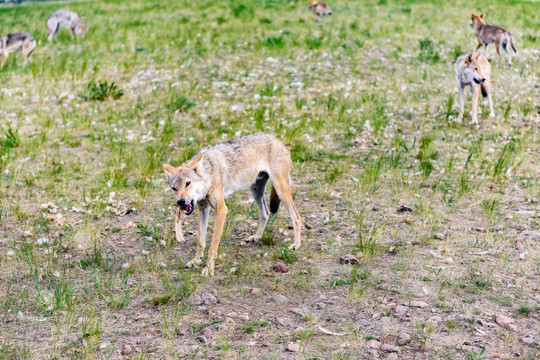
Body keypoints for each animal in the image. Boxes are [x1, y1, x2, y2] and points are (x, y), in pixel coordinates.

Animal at [160, 132, 304, 276]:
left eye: (188, 183)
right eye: (174, 188)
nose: (180, 202)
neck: (209, 174)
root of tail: (276, 138)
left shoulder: (221, 210)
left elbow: (213, 246)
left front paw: (209, 269)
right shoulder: (203, 209)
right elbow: (200, 241)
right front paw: (196, 261)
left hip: (280, 190)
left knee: (297, 217)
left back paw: (296, 245)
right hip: (256, 190)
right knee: (266, 213)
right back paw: (256, 237)